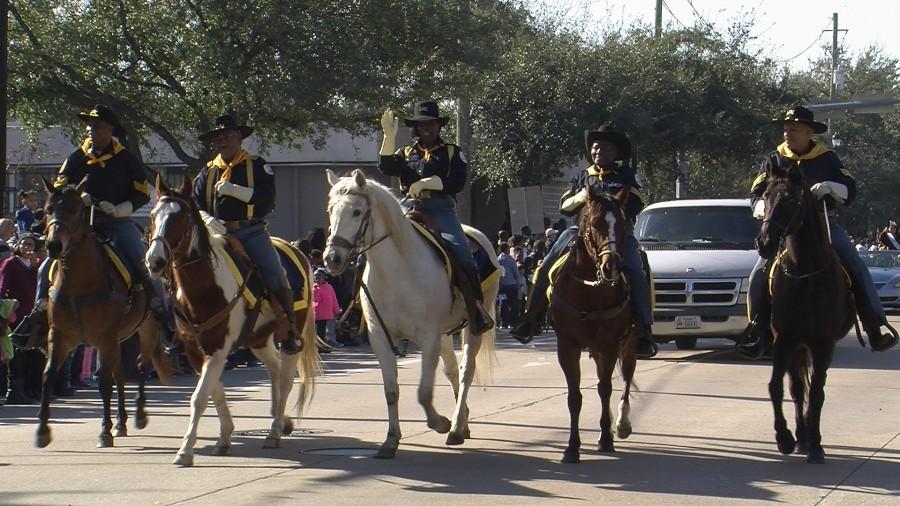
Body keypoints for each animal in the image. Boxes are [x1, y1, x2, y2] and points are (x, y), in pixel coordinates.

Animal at [35, 178, 173, 446]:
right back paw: (121, 421)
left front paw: (104, 431)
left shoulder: (105, 338)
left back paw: (139, 414)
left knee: (141, 366)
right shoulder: (60, 336)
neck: (78, 284)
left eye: (76, 210)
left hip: (146, 329)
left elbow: (104, 383)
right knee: (121, 374)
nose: (53, 245)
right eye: (48, 210)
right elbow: (47, 376)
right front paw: (42, 430)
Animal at [144, 180, 320, 468]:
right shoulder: (195, 350)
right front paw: (225, 436)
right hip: (258, 338)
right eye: (152, 216)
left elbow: (199, 397)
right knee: (273, 368)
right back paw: (279, 418)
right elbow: (214, 391)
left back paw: (274, 431)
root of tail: (297, 251)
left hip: (290, 336)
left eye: (180, 218)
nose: (155, 261)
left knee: (285, 378)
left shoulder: (218, 348)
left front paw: (185, 450)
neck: (204, 287)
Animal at [324, 170, 500, 458]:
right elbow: (391, 391)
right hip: (444, 333)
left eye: (357, 212)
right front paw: (391, 439)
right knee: (452, 370)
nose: (332, 259)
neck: (395, 271)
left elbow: (423, 393)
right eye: (331, 210)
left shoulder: (427, 337)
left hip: (472, 325)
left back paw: (455, 428)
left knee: (466, 371)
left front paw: (441, 423)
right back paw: (462, 421)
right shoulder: (380, 338)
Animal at [552, 188, 636, 464]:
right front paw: (571, 447)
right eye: (595, 223)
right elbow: (574, 397)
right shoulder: (567, 346)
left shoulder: (609, 345)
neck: (590, 288)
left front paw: (607, 438)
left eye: (621, 224)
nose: (612, 267)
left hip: (629, 343)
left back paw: (620, 424)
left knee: (626, 378)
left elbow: (605, 389)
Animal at [756, 163, 856, 462]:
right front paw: (784, 437)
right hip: (798, 346)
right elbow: (777, 386)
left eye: (791, 200)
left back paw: (810, 436)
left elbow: (818, 392)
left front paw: (816, 445)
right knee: (797, 387)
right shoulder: (784, 339)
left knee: (809, 388)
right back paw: (800, 435)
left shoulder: (823, 343)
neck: (805, 272)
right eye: (765, 196)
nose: (764, 242)